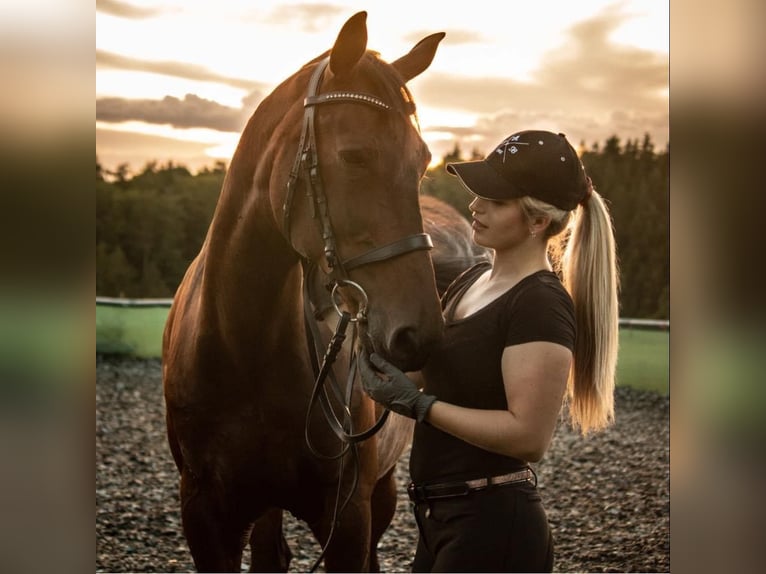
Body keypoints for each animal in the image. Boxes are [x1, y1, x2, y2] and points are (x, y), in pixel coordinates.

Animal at [163, 12, 481, 572]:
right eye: (354, 155)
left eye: (422, 159)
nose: (419, 333)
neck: (242, 347)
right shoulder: (204, 516)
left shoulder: (348, 515)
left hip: (381, 490)